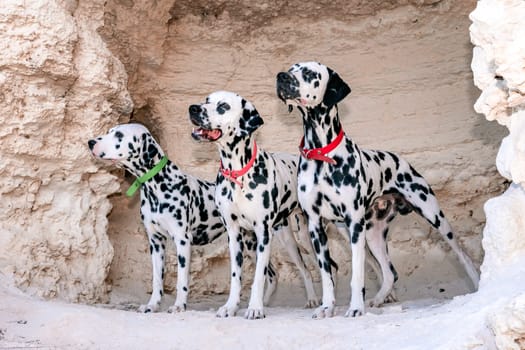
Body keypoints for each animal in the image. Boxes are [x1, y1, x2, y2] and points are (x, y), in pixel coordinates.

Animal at [88, 124, 282, 314]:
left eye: (119, 135)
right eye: (110, 131)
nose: (90, 142)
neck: (157, 186)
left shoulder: (182, 241)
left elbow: (181, 280)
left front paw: (179, 305)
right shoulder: (155, 242)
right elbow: (157, 280)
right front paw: (152, 305)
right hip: (250, 246)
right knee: (271, 273)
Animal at [188, 91, 320, 320]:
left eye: (223, 106)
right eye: (206, 100)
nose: (193, 109)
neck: (238, 174)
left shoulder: (263, 234)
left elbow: (258, 276)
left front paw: (255, 308)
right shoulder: (234, 235)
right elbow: (236, 276)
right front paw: (231, 306)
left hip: (300, 239)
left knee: (311, 268)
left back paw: (315, 299)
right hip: (261, 241)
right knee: (280, 273)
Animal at [276, 61, 482, 318]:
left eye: (309, 73)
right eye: (290, 68)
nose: (280, 77)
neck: (322, 155)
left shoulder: (354, 225)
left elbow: (357, 274)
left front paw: (355, 307)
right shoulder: (315, 226)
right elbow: (326, 275)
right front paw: (326, 307)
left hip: (434, 216)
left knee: (461, 253)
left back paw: (476, 283)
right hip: (372, 234)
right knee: (390, 272)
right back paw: (379, 298)